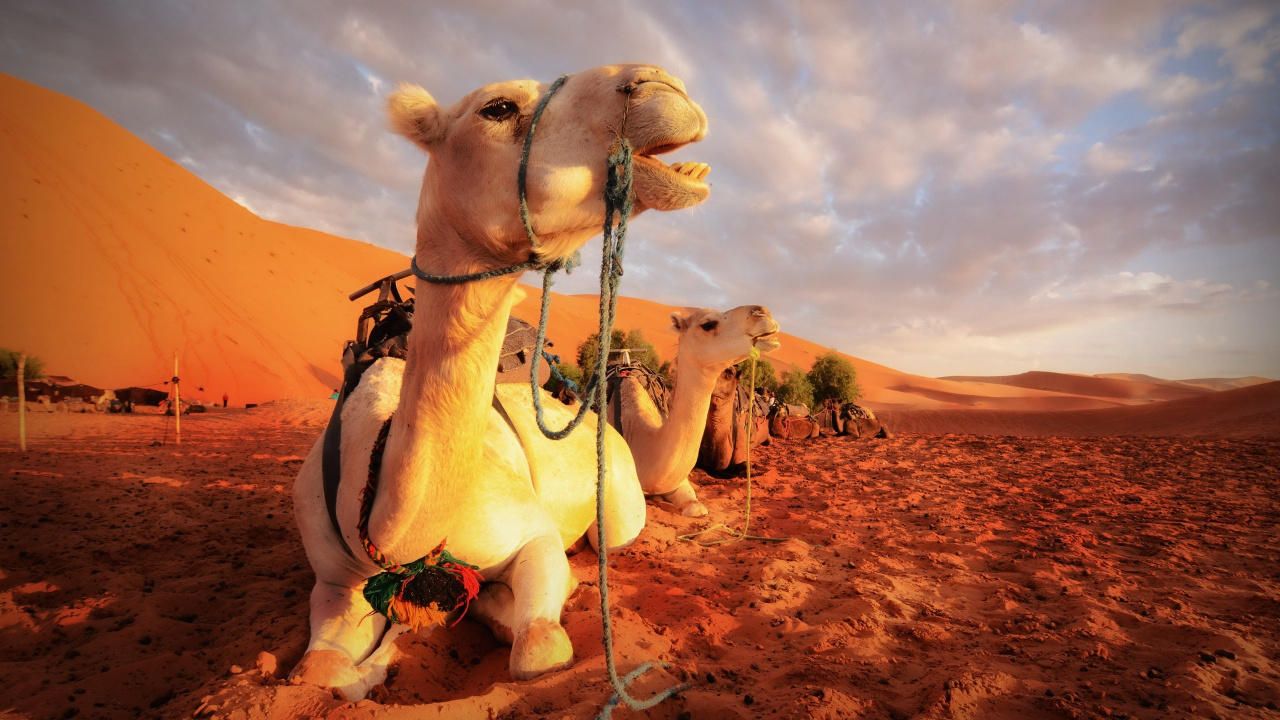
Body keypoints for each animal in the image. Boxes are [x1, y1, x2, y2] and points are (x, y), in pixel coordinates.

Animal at [291, 64, 712, 700]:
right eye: (498, 107)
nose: (662, 86)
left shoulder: (530, 534)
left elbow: (539, 647)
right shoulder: (335, 579)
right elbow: (316, 672)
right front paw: (372, 662)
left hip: (616, 510)